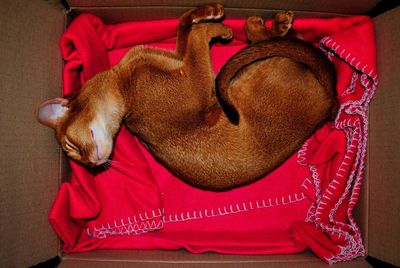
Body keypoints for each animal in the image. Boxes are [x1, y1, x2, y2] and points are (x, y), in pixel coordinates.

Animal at [38, 4, 338, 193]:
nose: (92, 165)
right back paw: (262, 25)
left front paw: (208, 12)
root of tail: (329, 96)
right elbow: (196, 36)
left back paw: (277, 22)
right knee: (282, 41)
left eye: (70, 147)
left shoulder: (177, 59)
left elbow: (183, 26)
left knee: (294, 39)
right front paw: (218, 27)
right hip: (256, 73)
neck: (123, 81)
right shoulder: (196, 81)